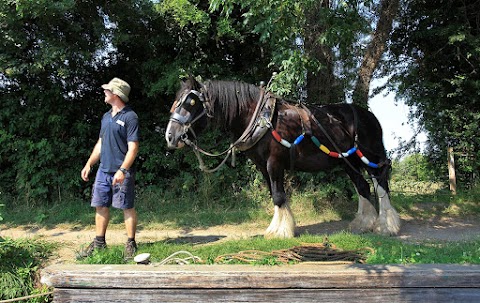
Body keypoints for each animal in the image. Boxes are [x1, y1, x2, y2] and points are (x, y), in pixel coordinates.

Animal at [167, 78, 400, 240]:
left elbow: (279, 196)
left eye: (190, 102)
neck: (261, 118)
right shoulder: (262, 166)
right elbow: (274, 194)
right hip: (347, 161)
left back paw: (386, 225)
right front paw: (281, 227)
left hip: (370, 155)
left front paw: (280, 231)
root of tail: (368, 115)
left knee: (380, 184)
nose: (171, 136)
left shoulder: (274, 162)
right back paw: (363, 223)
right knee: (362, 186)